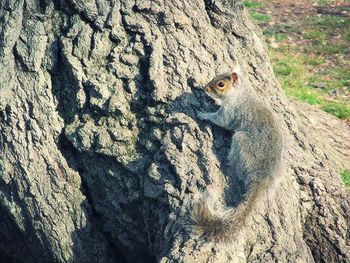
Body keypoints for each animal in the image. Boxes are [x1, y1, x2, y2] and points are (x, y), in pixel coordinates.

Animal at [191, 68, 284, 243]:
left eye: (221, 84)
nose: (205, 88)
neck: (240, 93)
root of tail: (261, 177)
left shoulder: (230, 110)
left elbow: (221, 120)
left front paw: (203, 114)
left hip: (240, 143)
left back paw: (228, 163)